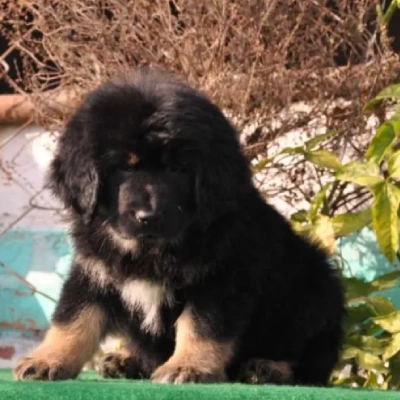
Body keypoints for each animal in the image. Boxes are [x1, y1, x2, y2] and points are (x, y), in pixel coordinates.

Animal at [14, 68, 346, 384]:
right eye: (123, 168)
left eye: (177, 169)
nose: (148, 216)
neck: (150, 250)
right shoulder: (93, 270)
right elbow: (73, 318)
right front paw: (46, 360)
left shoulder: (221, 277)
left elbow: (201, 325)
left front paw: (189, 366)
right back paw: (127, 360)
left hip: (316, 291)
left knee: (308, 362)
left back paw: (268, 368)